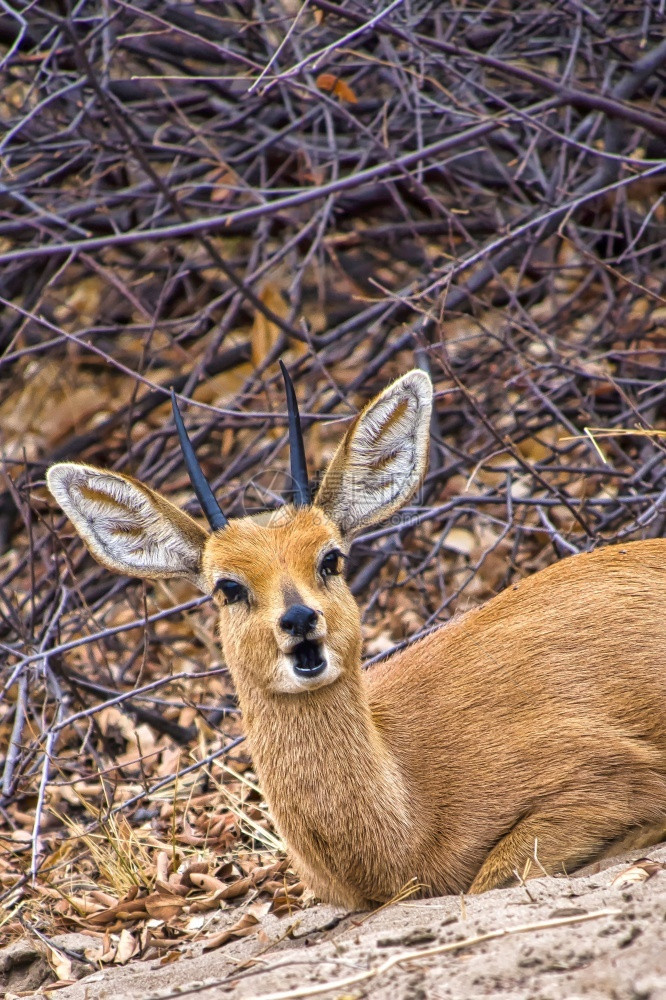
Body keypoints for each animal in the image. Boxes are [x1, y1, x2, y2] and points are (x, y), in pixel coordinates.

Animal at [48, 368, 666, 908]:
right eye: (227, 586)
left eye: (331, 558)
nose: (300, 620)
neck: (409, 818)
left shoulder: (604, 778)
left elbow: (496, 873)